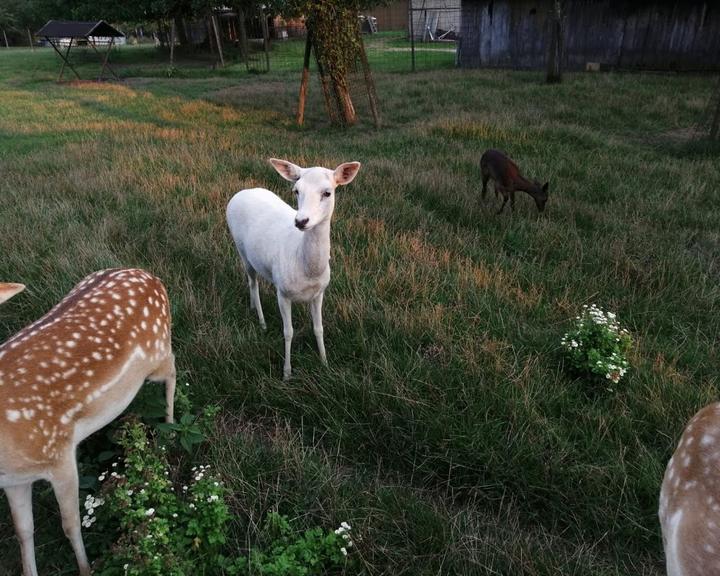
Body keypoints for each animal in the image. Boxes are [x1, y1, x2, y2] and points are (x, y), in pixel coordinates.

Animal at [0, 270, 176, 576]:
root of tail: (149, 276)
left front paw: (86, 569)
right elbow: (23, 531)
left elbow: (70, 524)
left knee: (173, 369)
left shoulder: (59, 456)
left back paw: (170, 429)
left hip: (157, 354)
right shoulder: (13, 480)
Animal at [226, 158, 360, 380]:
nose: (301, 221)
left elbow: (319, 328)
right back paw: (261, 321)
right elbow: (288, 332)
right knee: (252, 281)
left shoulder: (319, 292)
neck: (308, 270)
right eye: (296, 190)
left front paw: (325, 363)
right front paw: (286, 373)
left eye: (327, 192)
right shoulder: (283, 292)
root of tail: (241, 192)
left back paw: (253, 308)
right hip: (241, 249)